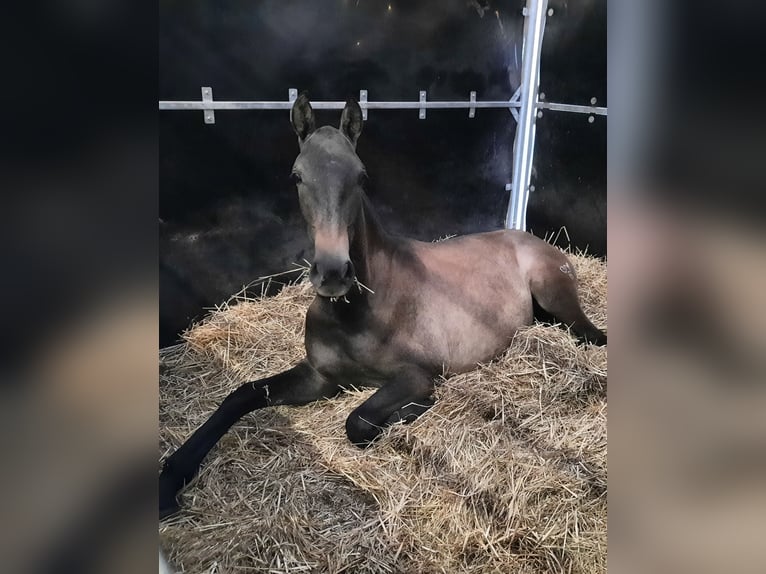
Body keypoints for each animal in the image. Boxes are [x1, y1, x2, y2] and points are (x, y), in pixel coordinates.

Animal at [159, 94, 606, 518]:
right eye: (296, 175)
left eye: (361, 176)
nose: (334, 272)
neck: (354, 314)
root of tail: (529, 237)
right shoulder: (319, 376)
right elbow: (241, 395)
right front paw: (171, 476)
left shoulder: (414, 374)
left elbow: (358, 422)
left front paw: (415, 409)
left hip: (553, 292)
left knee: (591, 335)